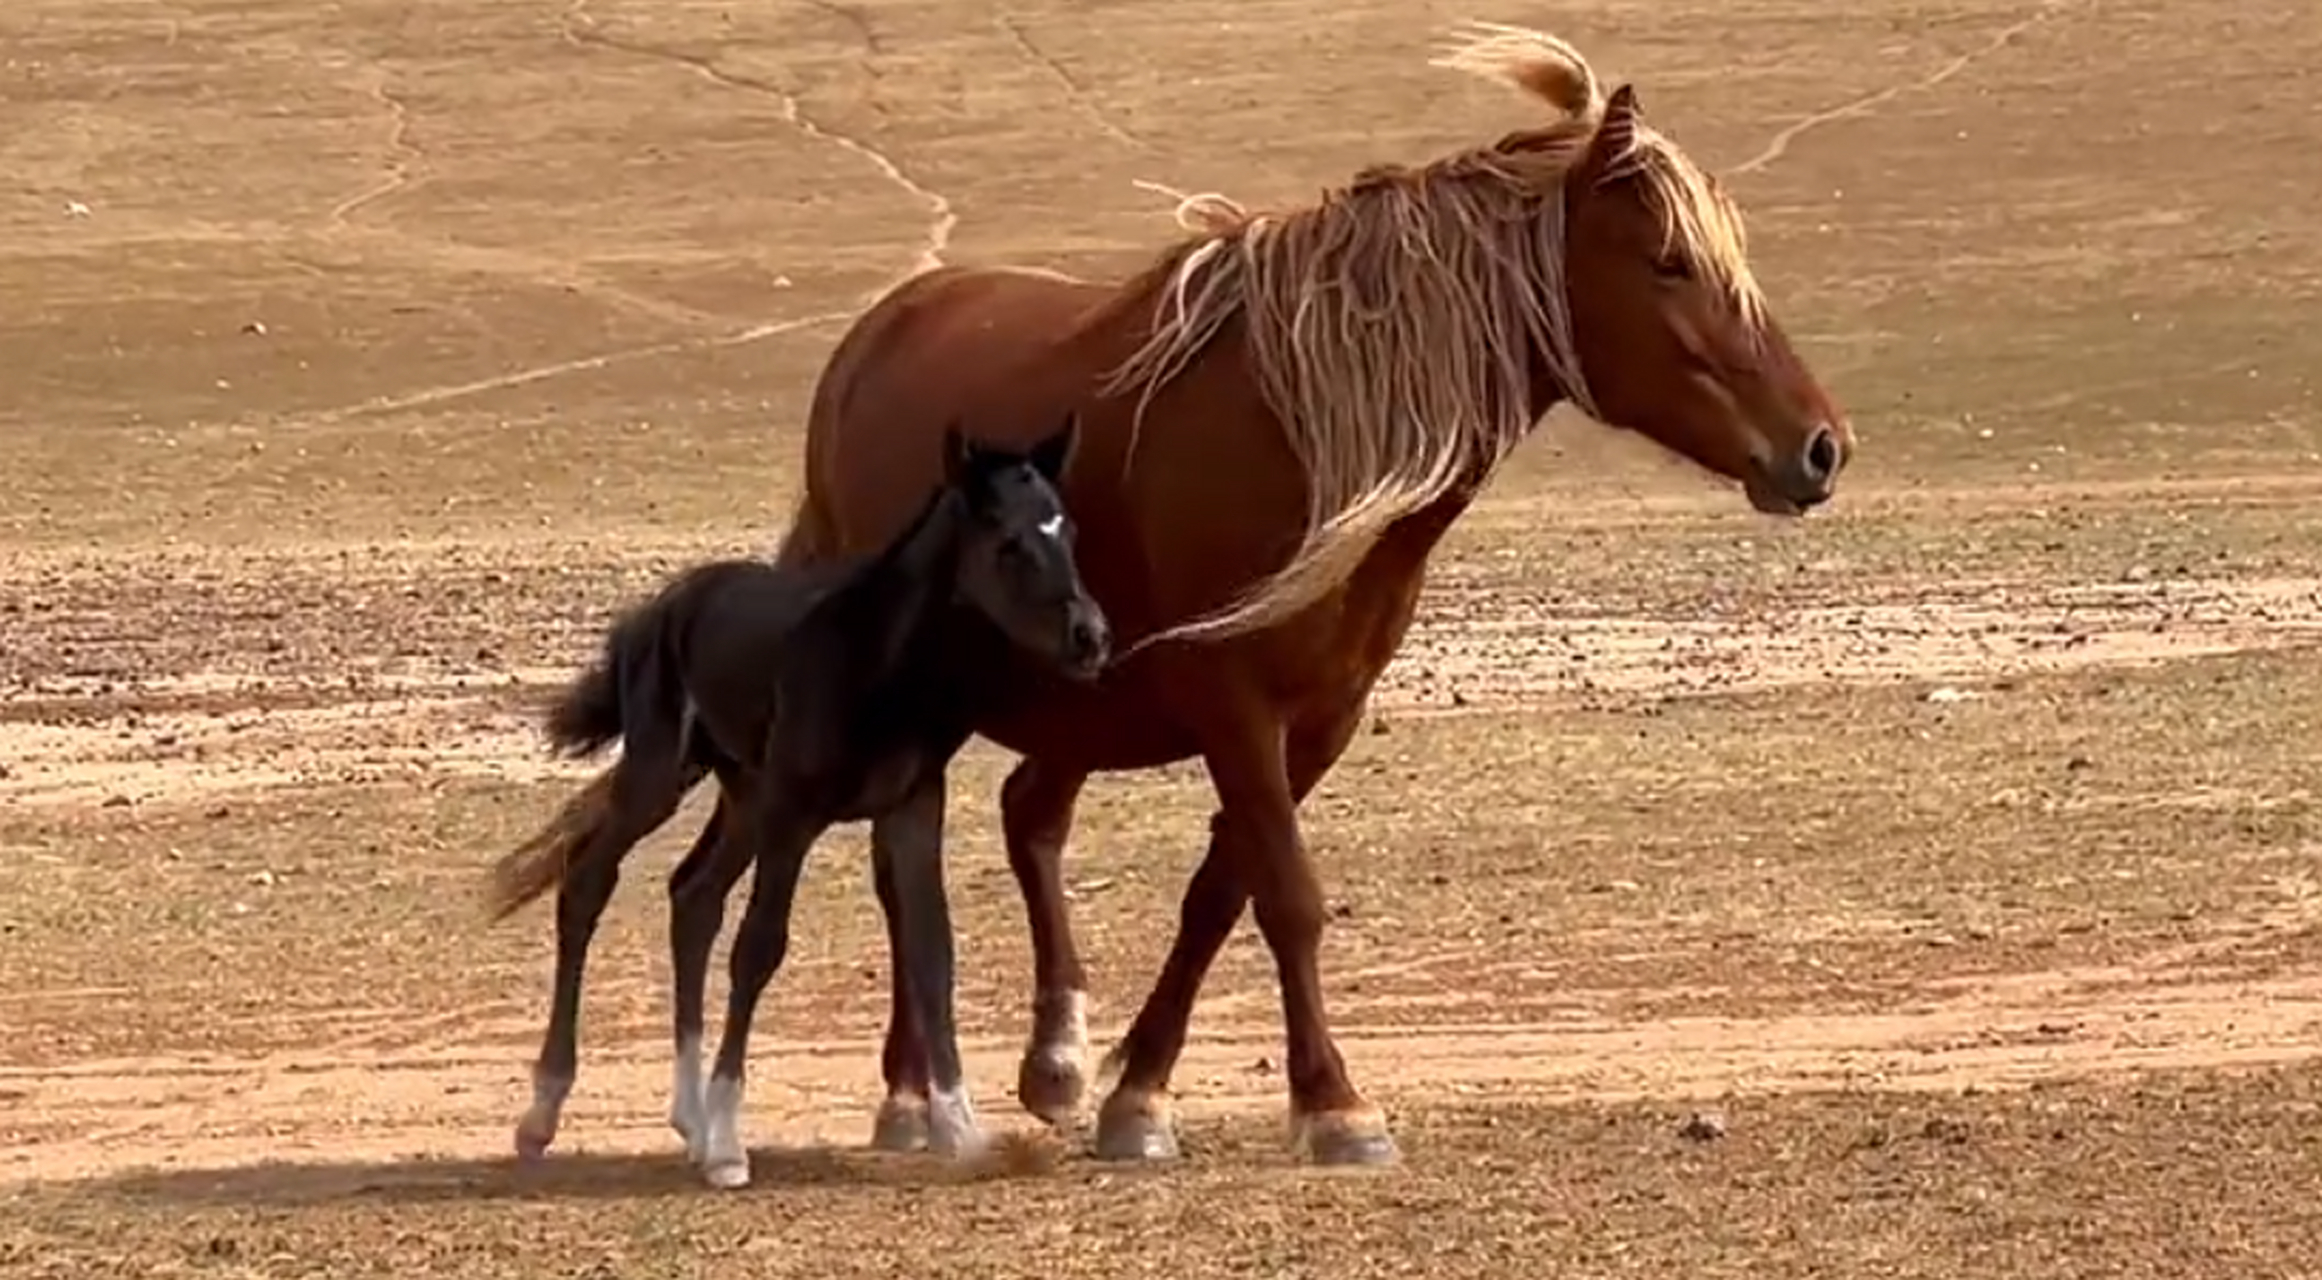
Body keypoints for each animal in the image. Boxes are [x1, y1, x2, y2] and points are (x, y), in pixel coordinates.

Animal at [483, 418, 1109, 1189]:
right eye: (1009, 541)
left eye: (1067, 528)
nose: (1091, 636)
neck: (875, 663)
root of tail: (663, 606)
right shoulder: (794, 813)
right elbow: (759, 947)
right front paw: (730, 1146)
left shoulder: (910, 807)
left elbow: (933, 948)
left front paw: (961, 1129)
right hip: (664, 775)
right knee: (588, 881)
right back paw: (545, 1113)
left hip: (744, 796)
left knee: (692, 895)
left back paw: (688, 1118)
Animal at [773, 22, 1852, 1167]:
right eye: (1669, 262)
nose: (1820, 447)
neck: (1302, 439)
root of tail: (870, 343)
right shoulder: (1231, 703)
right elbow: (1287, 893)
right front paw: (1335, 1103)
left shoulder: (1322, 716)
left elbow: (1224, 888)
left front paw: (1139, 1093)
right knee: (903, 860)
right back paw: (912, 1097)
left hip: (1076, 705)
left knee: (1029, 816)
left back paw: (1054, 1057)